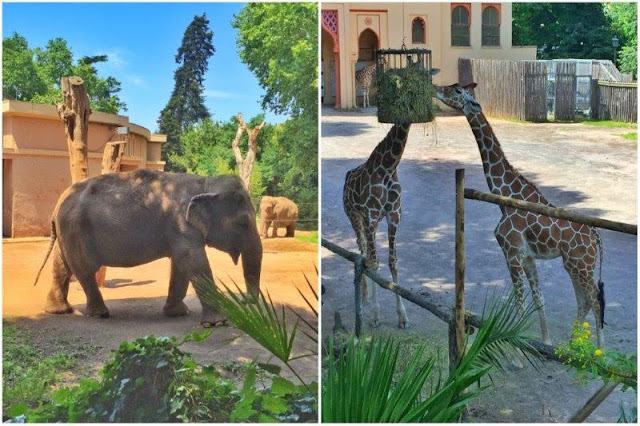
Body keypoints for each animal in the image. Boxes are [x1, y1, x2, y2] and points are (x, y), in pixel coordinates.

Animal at [33, 170, 264, 326]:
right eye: (243, 222)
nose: (244, 300)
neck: (205, 183)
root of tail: (57, 205)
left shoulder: (178, 230)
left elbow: (180, 266)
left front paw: (179, 313)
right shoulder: (181, 224)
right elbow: (194, 262)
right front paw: (217, 323)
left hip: (68, 232)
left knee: (61, 267)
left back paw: (59, 311)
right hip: (76, 230)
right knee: (84, 270)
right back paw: (100, 314)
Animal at [344, 123, 410, 330]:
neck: (388, 167)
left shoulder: (394, 215)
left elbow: (392, 261)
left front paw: (402, 316)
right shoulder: (370, 216)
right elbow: (375, 262)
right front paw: (375, 315)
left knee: (364, 248)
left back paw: (364, 295)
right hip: (354, 216)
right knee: (363, 246)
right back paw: (364, 296)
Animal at [436, 84, 604, 350]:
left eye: (457, 91)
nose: (437, 90)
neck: (505, 197)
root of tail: (597, 236)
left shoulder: (511, 252)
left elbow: (519, 304)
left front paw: (515, 350)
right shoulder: (527, 257)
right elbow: (538, 299)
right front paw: (545, 342)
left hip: (582, 264)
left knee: (595, 300)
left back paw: (600, 351)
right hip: (573, 264)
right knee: (584, 301)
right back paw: (570, 347)